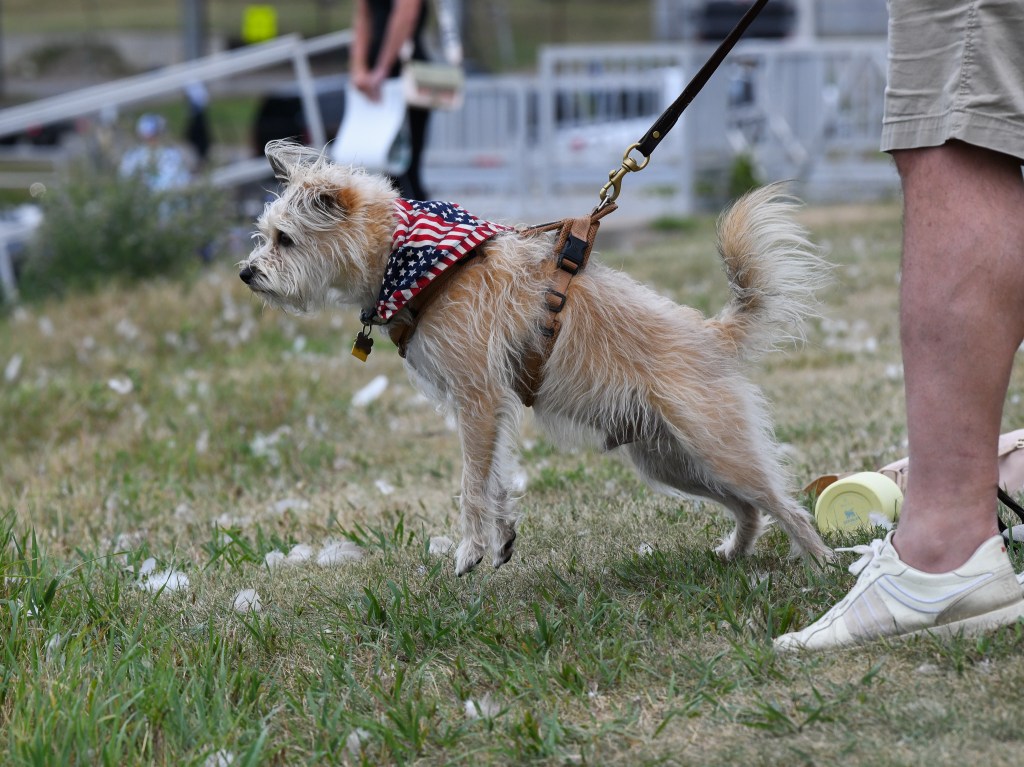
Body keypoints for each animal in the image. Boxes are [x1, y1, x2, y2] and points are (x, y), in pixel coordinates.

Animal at [240, 139, 832, 575]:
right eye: (264, 236)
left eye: (285, 239)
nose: (246, 273)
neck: (408, 258)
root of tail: (711, 334)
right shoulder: (488, 408)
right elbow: (496, 477)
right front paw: (500, 538)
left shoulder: (478, 399)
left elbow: (472, 485)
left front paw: (470, 550)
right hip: (671, 461)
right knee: (750, 507)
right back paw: (737, 552)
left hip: (718, 449)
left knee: (783, 504)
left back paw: (821, 566)